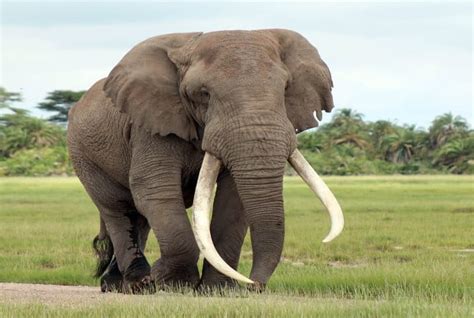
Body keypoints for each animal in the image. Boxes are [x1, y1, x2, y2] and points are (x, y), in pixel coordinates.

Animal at [67, 29, 344, 294]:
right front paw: (171, 284)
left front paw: (217, 290)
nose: (253, 286)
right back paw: (139, 285)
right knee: (117, 208)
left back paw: (121, 286)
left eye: (286, 89)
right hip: (82, 155)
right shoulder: (150, 125)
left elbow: (233, 199)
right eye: (204, 94)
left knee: (139, 218)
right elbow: (155, 189)